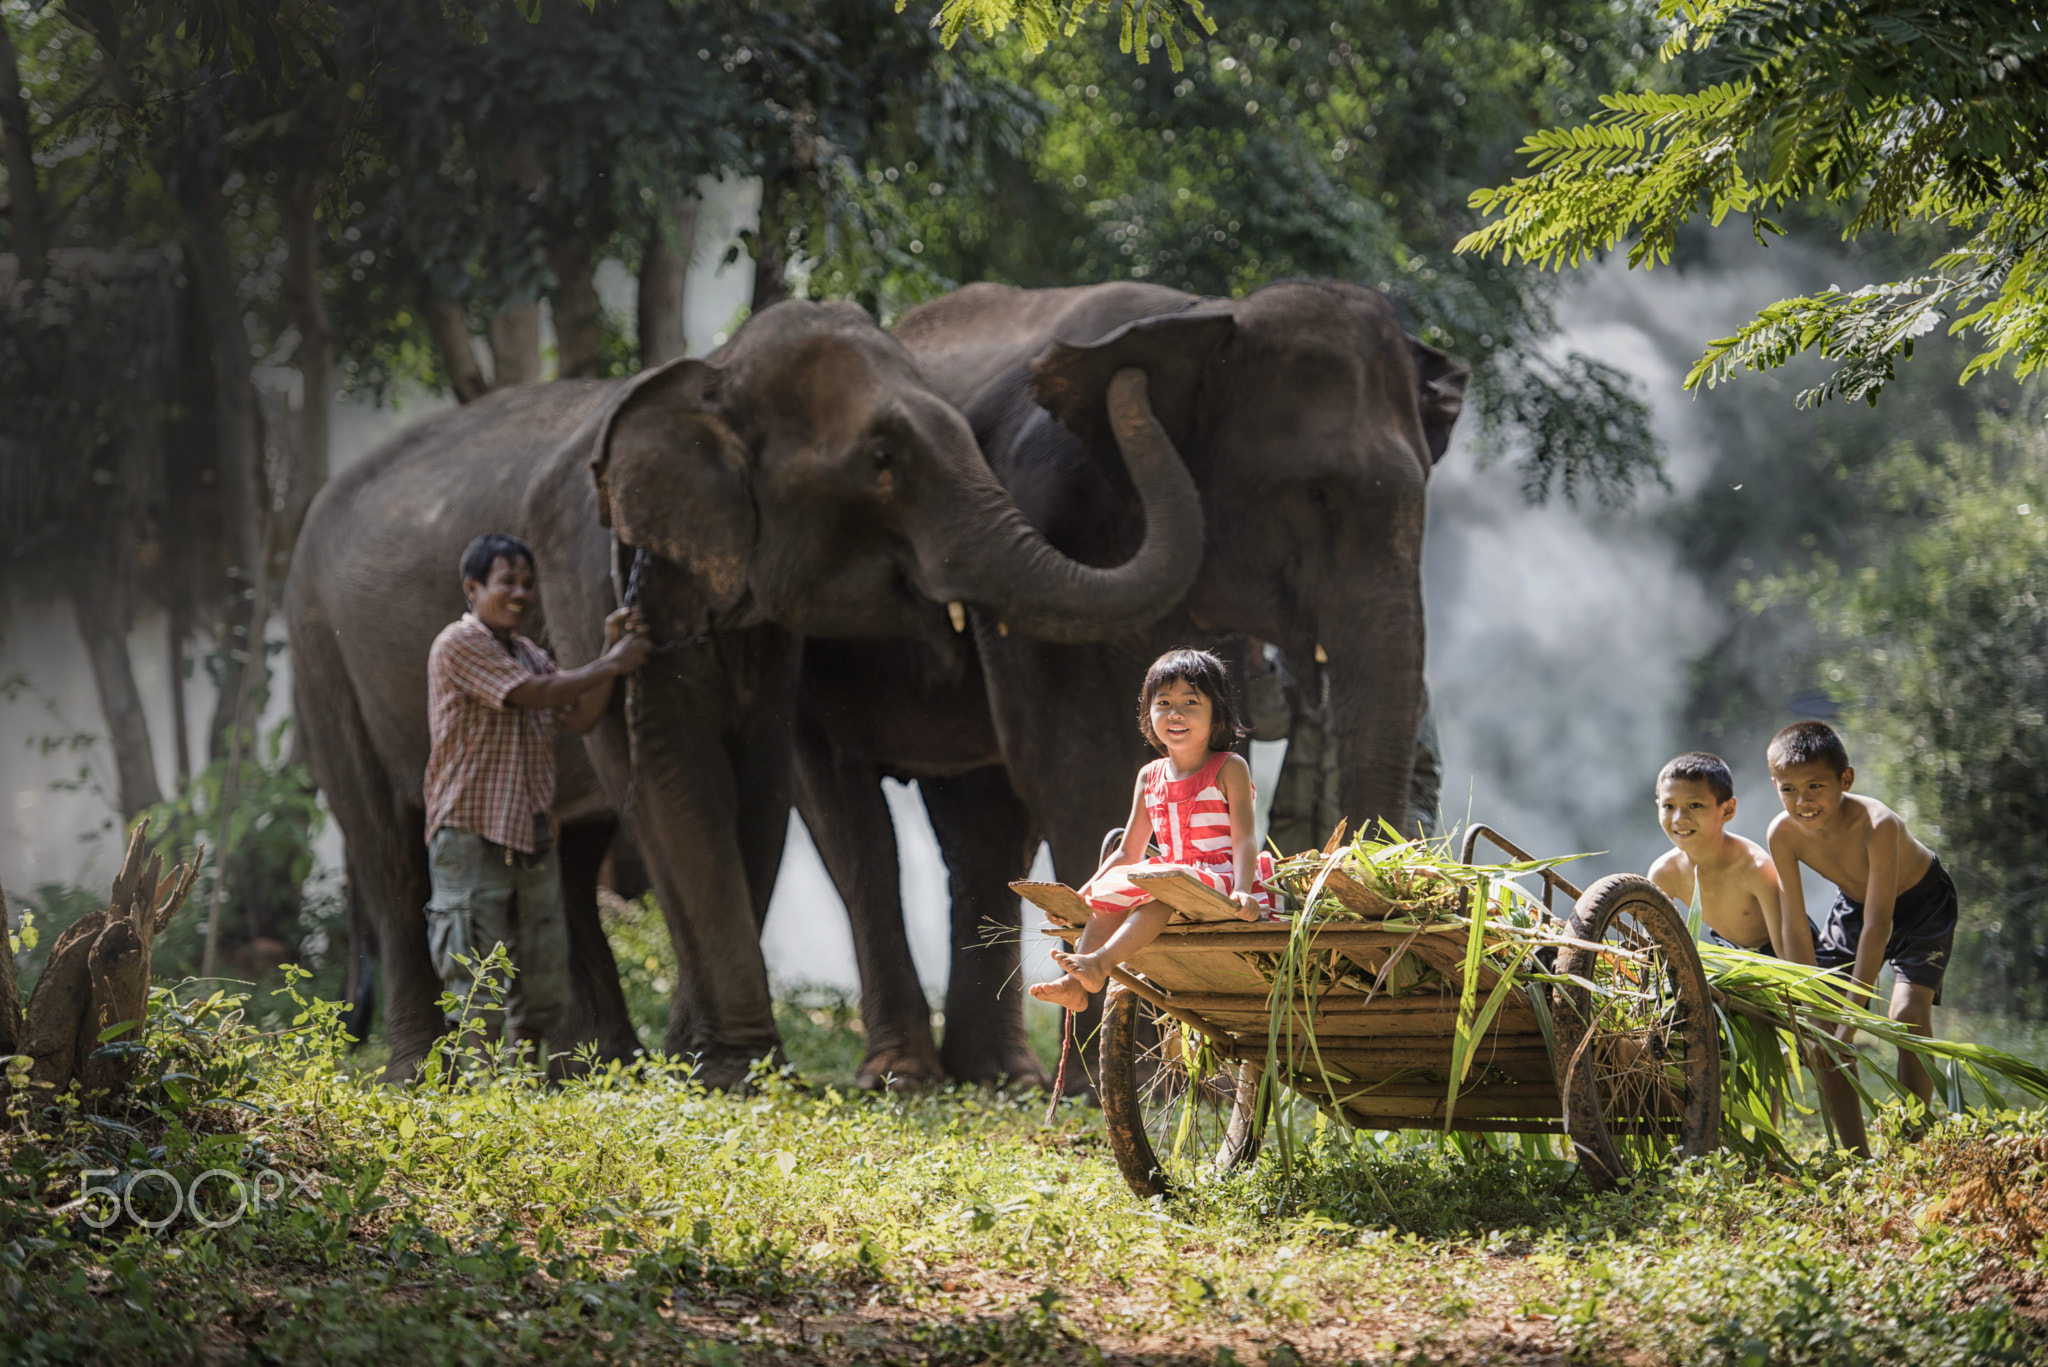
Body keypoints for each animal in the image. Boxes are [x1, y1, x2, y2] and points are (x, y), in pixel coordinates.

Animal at [290, 295, 1212, 1082]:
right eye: (881, 460)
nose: (1128, 377)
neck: (710, 375)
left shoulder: (763, 627)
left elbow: (755, 790)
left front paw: (706, 1064)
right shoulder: (586, 568)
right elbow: (682, 783)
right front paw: (738, 1070)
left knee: (566, 853)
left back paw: (593, 1065)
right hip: (319, 657)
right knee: (389, 847)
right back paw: (428, 1071)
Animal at [786, 278, 1474, 1090]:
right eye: (1314, 492)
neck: (1202, 317)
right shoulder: (1046, 517)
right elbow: (1070, 763)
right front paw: (1120, 1067)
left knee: (981, 824)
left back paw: (1001, 1073)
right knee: (853, 822)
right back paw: (911, 1074)